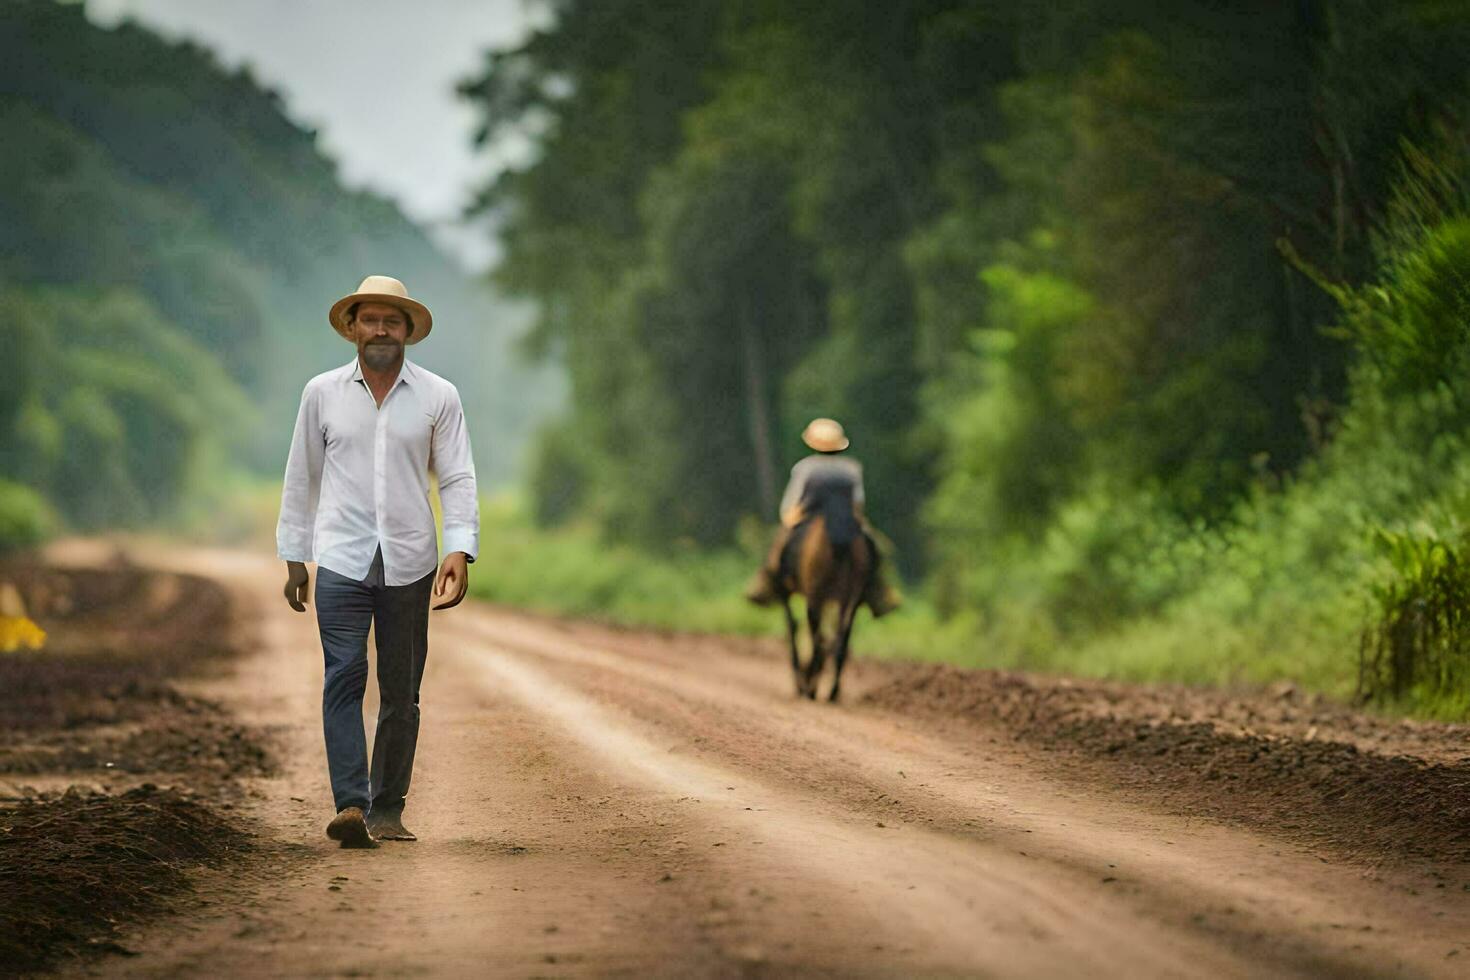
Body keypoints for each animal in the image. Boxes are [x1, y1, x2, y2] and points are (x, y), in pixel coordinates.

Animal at [776, 517, 864, 702]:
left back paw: (811, 686)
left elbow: (793, 628)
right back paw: (832, 691)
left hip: (816, 596)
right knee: (840, 640)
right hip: (849, 597)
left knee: (818, 640)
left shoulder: (788, 593)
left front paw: (802, 682)